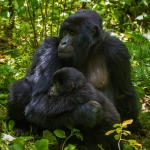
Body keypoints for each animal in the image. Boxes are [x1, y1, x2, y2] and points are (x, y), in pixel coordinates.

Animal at [7, 8, 141, 142]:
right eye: (65, 31)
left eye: (72, 33)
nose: (63, 42)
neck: (87, 51)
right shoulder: (49, 47)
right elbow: (38, 101)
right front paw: (86, 112)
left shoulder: (118, 50)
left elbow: (125, 95)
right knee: (22, 88)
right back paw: (20, 125)